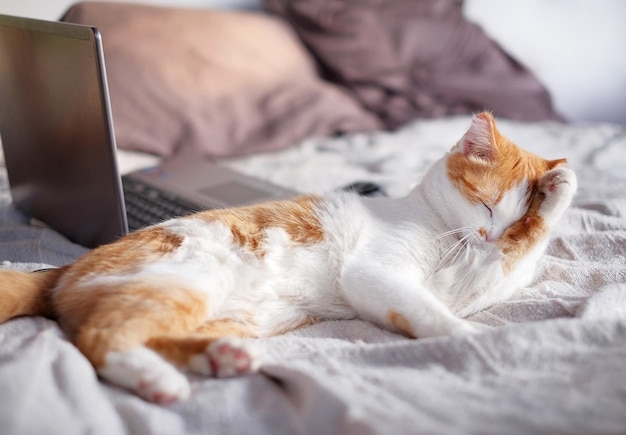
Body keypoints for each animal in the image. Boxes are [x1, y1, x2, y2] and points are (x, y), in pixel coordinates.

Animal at [0, 113, 576, 406]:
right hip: (186, 280)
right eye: (487, 204)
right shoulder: (384, 275)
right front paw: (472, 338)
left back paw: (222, 358)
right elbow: (438, 313)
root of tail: (67, 266)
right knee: (101, 339)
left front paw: (553, 193)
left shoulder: (461, 281)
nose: (489, 233)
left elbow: (509, 262)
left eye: (509, 218)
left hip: (224, 312)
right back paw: (156, 382)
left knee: (148, 334)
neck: (441, 225)